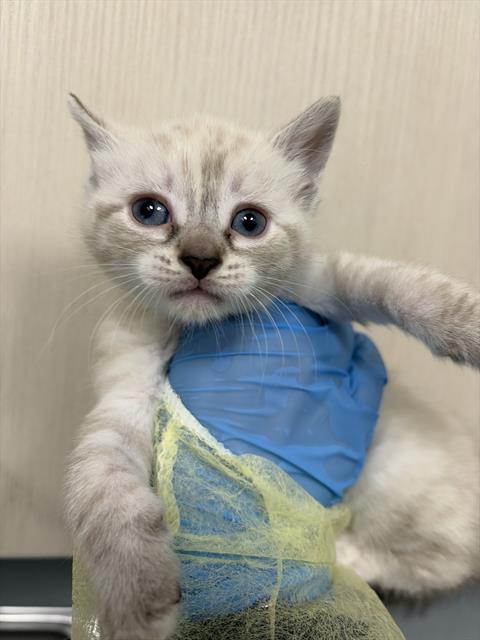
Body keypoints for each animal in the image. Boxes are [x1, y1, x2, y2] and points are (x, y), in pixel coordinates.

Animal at [66, 94, 480, 640]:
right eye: (149, 211)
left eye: (249, 223)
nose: (201, 259)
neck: (196, 330)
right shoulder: (124, 396)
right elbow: (105, 491)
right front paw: (137, 600)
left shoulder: (320, 283)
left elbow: (395, 284)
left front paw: (467, 325)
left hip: (393, 473)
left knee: (444, 559)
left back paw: (336, 555)